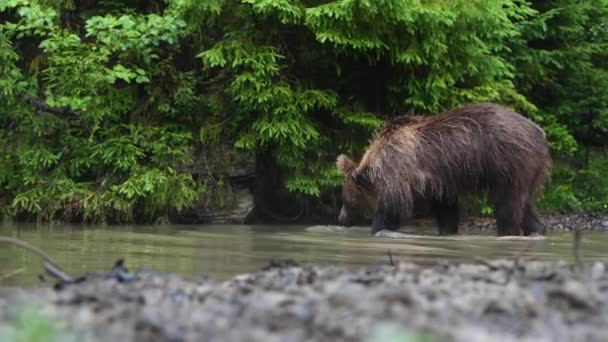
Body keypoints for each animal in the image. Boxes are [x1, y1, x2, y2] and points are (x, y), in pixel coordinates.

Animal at [334, 103, 552, 236]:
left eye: (346, 199)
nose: (341, 219)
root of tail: (540, 133)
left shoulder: (398, 168)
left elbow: (393, 205)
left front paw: (379, 228)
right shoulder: (439, 182)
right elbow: (446, 209)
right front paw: (447, 230)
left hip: (510, 162)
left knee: (508, 204)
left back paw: (508, 231)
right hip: (529, 170)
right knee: (525, 204)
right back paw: (537, 229)